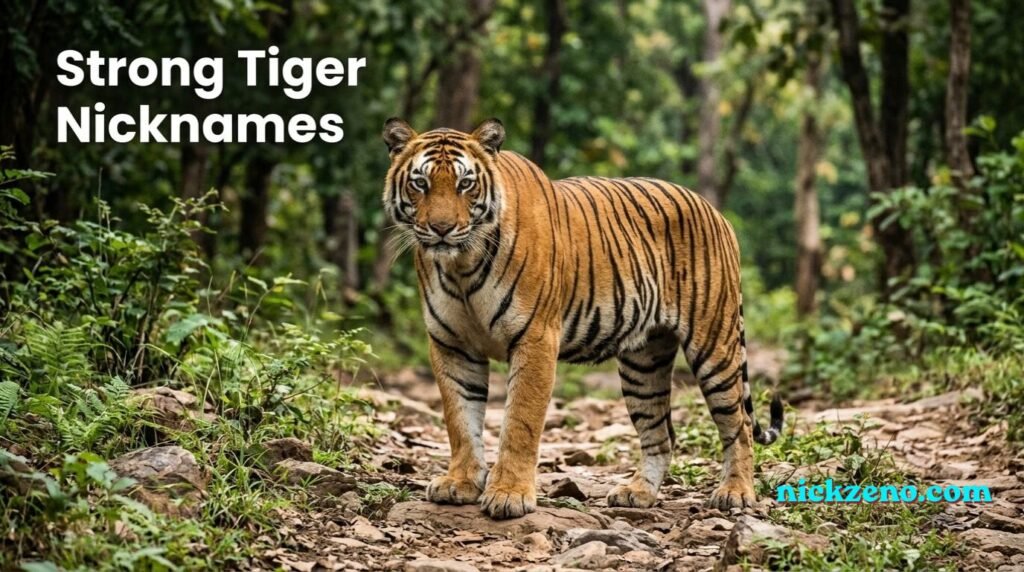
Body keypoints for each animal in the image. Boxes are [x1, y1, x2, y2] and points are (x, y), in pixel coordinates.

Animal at [381, 117, 783, 519]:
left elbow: (520, 422)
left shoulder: (535, 338)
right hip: (644, 363)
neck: (461, 265)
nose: (442, 229)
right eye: (420, 183)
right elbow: (460, 419)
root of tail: (713, 210)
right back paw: (638, 493)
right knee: (660, 434)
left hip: (714, 344)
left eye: (465, 183)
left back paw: (735, 493)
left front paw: (509, 494)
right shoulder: (451, 344)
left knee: (739, 425)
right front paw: (460, 483)